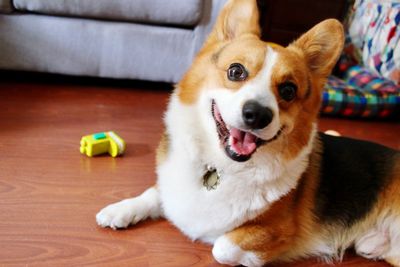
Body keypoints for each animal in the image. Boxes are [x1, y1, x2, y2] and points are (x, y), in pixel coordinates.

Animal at [96, 1, 400, 266]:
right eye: (236, 71)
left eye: (288, 90)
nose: (257, 114)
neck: (221, 168)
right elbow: (154, 193)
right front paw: (120, 209)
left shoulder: (277, 230)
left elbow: (222, 245)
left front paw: (240, 251)